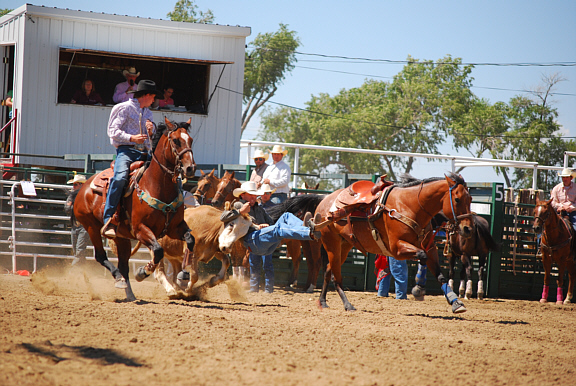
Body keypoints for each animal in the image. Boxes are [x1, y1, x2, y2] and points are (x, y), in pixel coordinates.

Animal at [71, 117, 197, 302]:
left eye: (191, 140)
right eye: (175, 140)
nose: (190, 168)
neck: (157, 185)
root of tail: (83, 188)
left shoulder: (175, 227)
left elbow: (190, 240)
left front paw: (183, 275)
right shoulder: (140, 229)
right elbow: (158, 251)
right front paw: (143, 272)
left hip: (121, 237)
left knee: (123, 264)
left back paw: (129, 293)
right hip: (91, 227)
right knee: (101, 256)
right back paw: (118, 278)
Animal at [306, 173, 472, 312]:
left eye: (470, 199)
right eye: (457, 199)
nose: (468, 228)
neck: (409, 206)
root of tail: (324, 201)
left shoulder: (430, 248)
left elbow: (440, 275)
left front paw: (456, 302)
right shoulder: (397, 249)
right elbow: (422, 256)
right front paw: (418, 288)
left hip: (345, 245)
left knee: (329, 271)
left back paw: (323, 301)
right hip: (331, 244)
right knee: (336, 276)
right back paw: (348, 305)